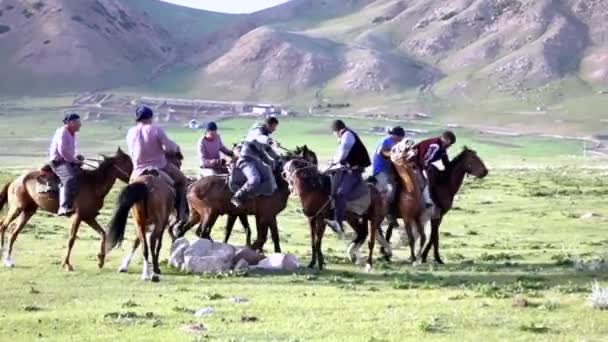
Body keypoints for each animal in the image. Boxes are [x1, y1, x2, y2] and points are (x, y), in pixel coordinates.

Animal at [0, 148, 132, 272]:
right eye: (128, 162)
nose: (133, 178)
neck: (93, 184)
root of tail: (14, 181)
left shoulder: (88, 217)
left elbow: (103, 233)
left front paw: (100, 260)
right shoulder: (77, 216)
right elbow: (71, 239)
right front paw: (66, 265)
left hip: (28, 212)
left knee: (13, 234)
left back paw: (8, 260)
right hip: (17, 208)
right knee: (3, 225)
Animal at [176, 143, 318, 252]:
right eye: (311, 161)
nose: (317, 176)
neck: (277, 182)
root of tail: (192, 185)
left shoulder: (269, 215)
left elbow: (274, 235)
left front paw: (277, 252)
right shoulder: (263, 215)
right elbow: (262, 237)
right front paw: (252, 248)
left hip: (197, 215)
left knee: (184, 229)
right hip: (210, 213)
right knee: (202, 232)